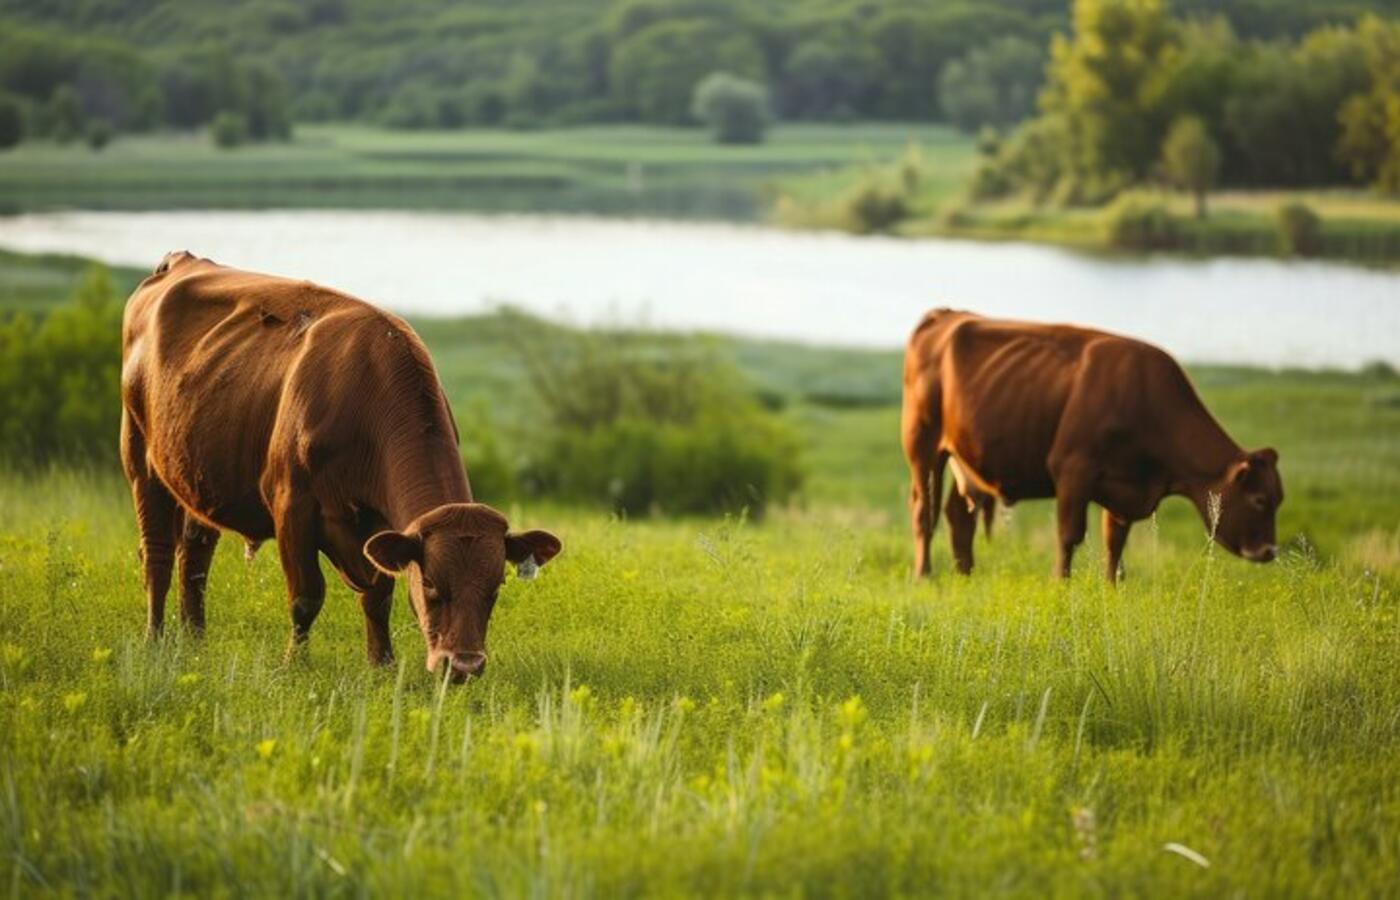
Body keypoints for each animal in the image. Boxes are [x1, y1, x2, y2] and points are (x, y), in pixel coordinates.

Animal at [120, 250, 557, 680]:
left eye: (495, 586)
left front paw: (382, 663)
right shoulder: (291, 507)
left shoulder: (381, 527)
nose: (464, 665)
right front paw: (294, 665)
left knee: (195, 558)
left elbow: (379, 597)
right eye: (432, 583)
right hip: (140, 457)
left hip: (197, 478)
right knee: (157, 553)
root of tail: (182, 260)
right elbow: (306, 595)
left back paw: (195, 642)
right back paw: (155, 640)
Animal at [901, 307, 1282, 576]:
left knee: (958, 515)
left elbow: (1115, 542)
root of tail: (946, 315)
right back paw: (925, 576)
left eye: (1279, 499)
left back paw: (966, 574)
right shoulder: (1073, 471)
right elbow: (1069, 535)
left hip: (965, 457)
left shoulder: (1124, 487)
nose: (1269, 551)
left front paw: (1112, 588)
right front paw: (1062, 584)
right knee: (923, 511)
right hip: (923, 445)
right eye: (1260, 500)